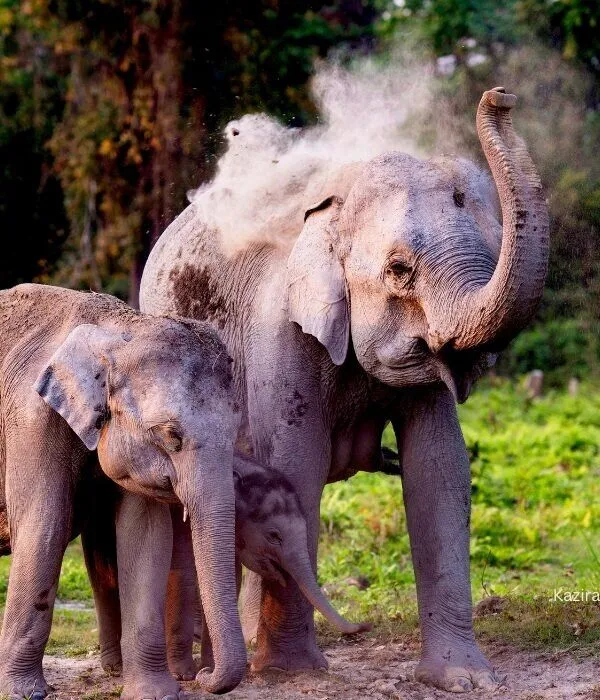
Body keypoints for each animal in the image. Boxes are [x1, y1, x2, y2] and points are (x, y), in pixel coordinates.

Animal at [0, 283, 246, 699]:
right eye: (171, 435)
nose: (201, 676)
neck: (115, 327)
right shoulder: (30, 421)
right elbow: (44, 527)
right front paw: (23, 692)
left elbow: (146, 536)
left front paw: (155, 693)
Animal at [139, 87, 549, 692]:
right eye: (400, 270)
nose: (501, 95)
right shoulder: (281, 330)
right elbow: (297, 462)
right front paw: (291, 671)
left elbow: (439, 467)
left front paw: (465, 679)